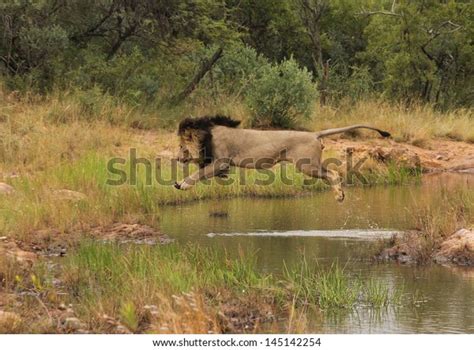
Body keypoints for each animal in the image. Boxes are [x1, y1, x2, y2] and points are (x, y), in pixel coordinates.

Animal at [173, 115, 388, 202]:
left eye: (182, 146)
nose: (177, 158)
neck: (207, 135)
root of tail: (314, 134)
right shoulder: (218, 163)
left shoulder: (221, 161)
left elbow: (199, 173)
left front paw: (182, 184)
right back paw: (339, 195)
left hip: (306, 165)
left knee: (333, 173)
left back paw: (339, 196)